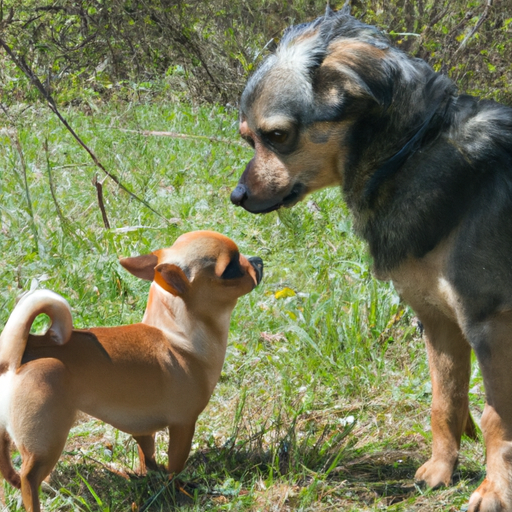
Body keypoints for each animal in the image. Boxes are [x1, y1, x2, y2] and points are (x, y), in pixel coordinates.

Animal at [0, 231, 264, 512]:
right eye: (231, 268)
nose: (257, 260)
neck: (176, 334)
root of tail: (17, 354)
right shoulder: (183, 425)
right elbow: (175, 466)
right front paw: (177, 489)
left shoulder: (143, 430)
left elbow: (148, 455)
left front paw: (151, 476)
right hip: (47, 441)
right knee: (30, 478)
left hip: (7, 435)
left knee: (8, 469)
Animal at [230, 4, 512, 512]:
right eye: (248, 140)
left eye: (277, 135)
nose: (236, 197)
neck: (411, 152)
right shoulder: (438, 321)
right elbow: (445, 403)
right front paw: (440, 472)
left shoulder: (490, 323)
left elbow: (496, 420)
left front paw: (494, 492)